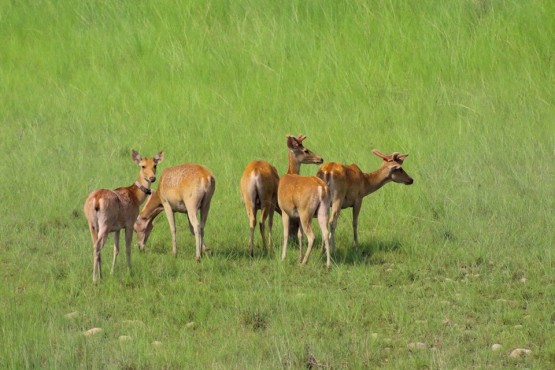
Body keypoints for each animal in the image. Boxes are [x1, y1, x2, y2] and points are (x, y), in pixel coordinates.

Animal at [83, 149, 164, 282]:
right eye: (143, 166)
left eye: (155, 165)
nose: (152, 178)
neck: (136, 197)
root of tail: (96, 200)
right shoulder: (129, 224)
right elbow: (127, 247)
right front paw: (130, 271)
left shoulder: (117, 228)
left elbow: (116, 249)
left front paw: (111, 272)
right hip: (105, 222)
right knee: (98, 246)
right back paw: (95, 279)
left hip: (92, 224)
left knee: (95, 245)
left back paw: (100, 275)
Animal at [276, 134, 332, 268]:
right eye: (305, 150)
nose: (320, 158)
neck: (289, 173)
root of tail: (321, 188)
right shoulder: (296, 215)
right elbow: (299, 235)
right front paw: (299, 257)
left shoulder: (284, 210)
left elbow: (286, 234)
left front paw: (283, 258)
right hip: (323, 210)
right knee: (325, 233)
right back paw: (328, 264)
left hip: (305, 211)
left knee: (312, 236)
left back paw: (305, 262)